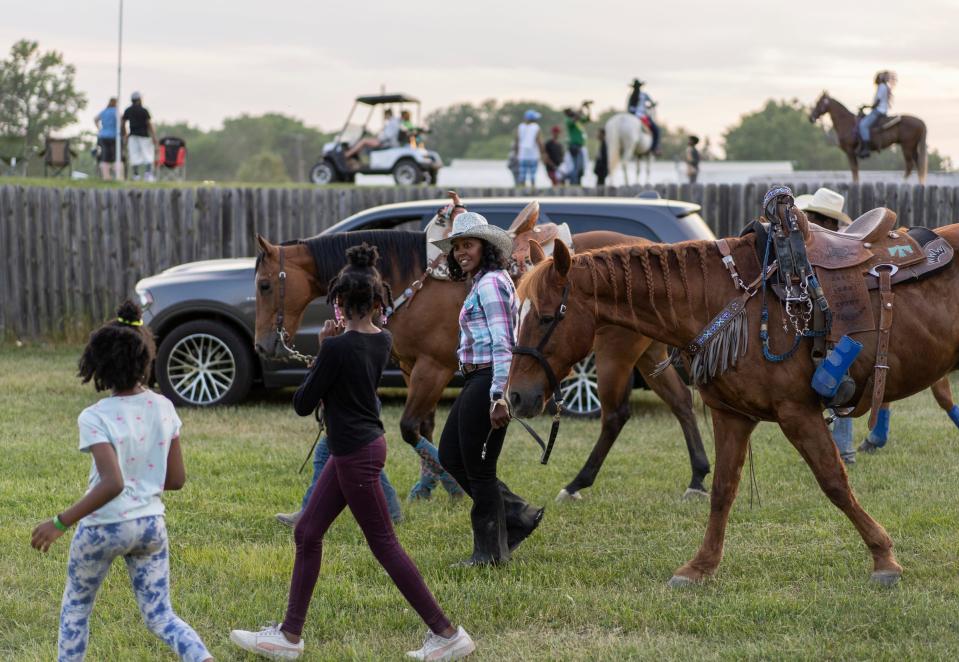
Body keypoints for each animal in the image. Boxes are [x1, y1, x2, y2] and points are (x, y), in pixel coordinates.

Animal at [251, 228, 708, 504]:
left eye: (265, 284)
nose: (263, 344)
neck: (417, 282)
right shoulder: (414, 367)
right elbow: (425, 426)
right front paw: (429, 485)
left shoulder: (432, 368)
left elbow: (410, 427)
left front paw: (451, 484)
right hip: (649, 352)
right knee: (682, 403)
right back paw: (698, 478)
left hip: (615, 355)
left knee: (615, 415)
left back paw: (577, 483)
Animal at [512, 227, 959, 588]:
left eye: (547, 316)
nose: (515, 395)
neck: (724, 298)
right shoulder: (732, 416)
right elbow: (723, 490)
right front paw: (700, 566)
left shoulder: (797, 413)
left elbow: (834, 481)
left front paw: (883, 557)